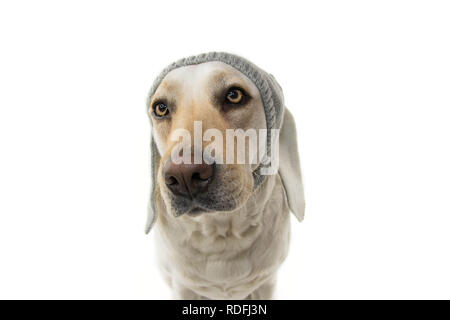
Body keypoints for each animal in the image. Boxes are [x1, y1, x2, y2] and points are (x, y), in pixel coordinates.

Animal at [146, 51, 304, 298]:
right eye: (160, 108)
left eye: (234, 95)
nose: (184, 175)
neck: (220, 232)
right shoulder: (183, 286)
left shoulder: (266, 282)